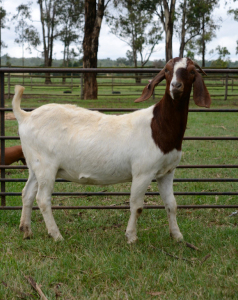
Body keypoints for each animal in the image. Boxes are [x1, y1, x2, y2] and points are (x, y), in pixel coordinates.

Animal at [12, 57, 211, 243]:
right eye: (168, 71)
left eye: (191, 71)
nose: (176, 86)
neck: (158, 126)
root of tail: (25, 116)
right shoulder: (143, 172)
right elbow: (137, 205)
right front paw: (131, 237)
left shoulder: (167, 172)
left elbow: (171, 204)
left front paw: (177, 236)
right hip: (46, 165)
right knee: (42, 198)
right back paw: (56, 235)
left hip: (34, 164)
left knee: (27, 193)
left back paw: (26, 230)